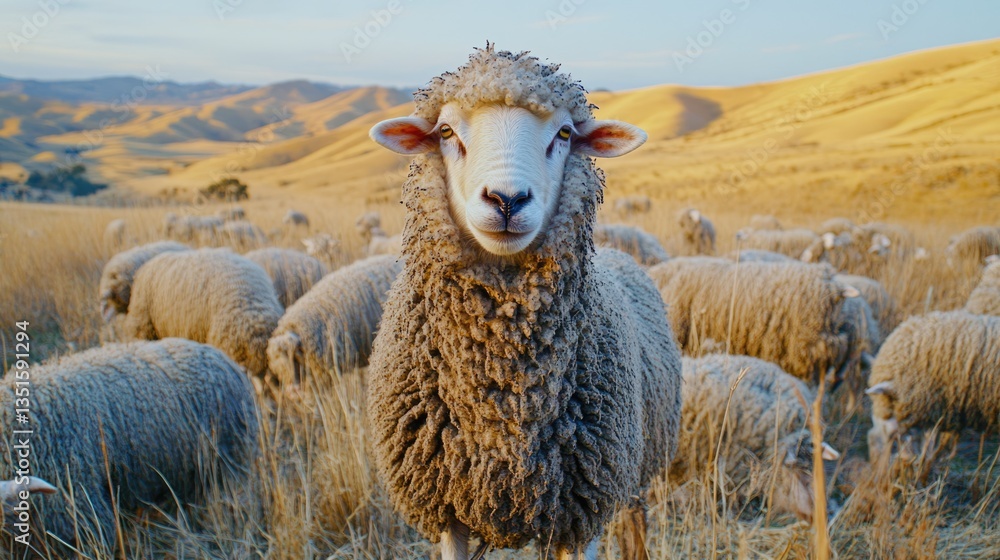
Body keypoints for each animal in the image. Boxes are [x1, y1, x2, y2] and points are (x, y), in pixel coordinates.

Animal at [366, 45, 681, 559]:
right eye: (446, 131)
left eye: (565, 133)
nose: (507, 199)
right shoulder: (447, 509)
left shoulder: (584, 509)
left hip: (634, 469)